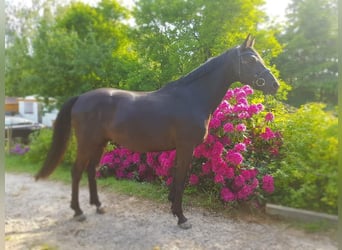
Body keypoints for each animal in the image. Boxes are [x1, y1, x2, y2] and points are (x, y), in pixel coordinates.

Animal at [36, 34, 280, 229]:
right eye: (250, 59)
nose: (274, 84)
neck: (192, 98)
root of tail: (81, 98)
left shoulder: (181, 149)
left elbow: (176, 177)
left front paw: (173, 208)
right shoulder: (186, 147)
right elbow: (181, 179)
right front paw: (181, 218)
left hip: (100, 142)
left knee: (90, 170)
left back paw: (98, 206)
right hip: (87, 142)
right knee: (77, 172)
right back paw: (78, 212)